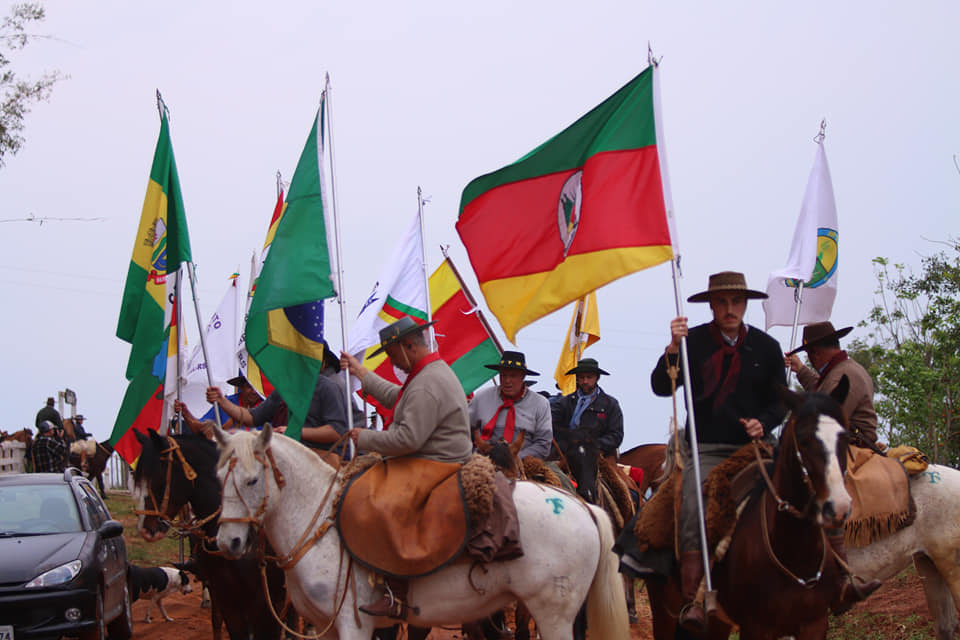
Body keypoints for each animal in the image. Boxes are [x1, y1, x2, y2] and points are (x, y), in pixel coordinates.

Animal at [212, 428, 632, 640]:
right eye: (218, 476)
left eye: (252, 480)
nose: (228, 543)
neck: (320, 522)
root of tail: (582, 506)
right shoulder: (323, 627)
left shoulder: (353, 626)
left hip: (554, 614)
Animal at [644, 382, 856, 636]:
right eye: (803, 439)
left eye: (845, 437)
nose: (838, 506)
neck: (794, 552)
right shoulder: (756, 627)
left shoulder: (815, 624)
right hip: (665, 611)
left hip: (717, 622)